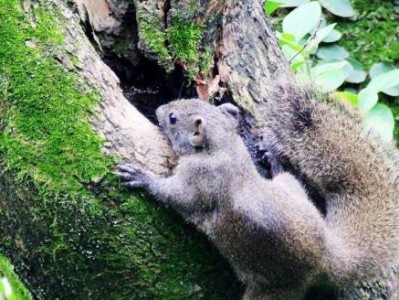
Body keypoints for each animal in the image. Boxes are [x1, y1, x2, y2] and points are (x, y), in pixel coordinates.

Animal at [117, 96, 399, 298]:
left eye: (173, 118)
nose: (160, 108)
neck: (222, 147)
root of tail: (327, 257)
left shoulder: (201, 179)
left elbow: (178, 197)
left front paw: (142, 177)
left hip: (274, 289)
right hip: (291, 189)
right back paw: (274, 162)